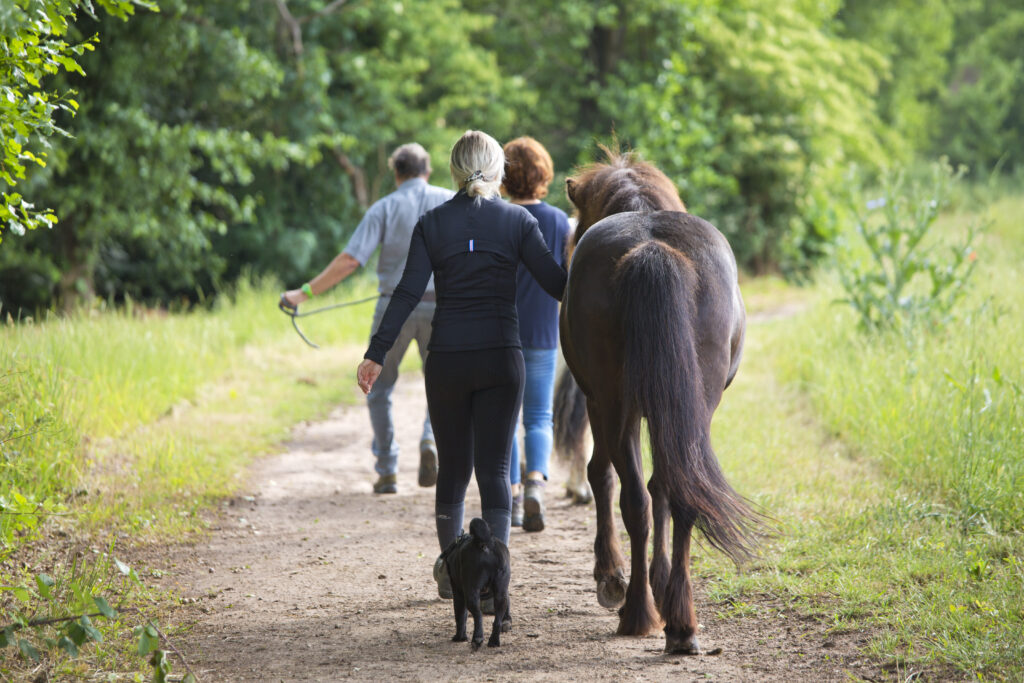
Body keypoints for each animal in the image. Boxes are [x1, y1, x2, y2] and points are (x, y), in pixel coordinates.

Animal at [444, 518, 516, 651]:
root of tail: (486, 544)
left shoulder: (458, 593)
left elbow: (460, 616)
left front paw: (460, 637)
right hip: (501, 591)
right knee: (497, 619)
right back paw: (494, 640)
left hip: (471, 591)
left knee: (478, 615)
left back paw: (477, 639)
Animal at [557, 148, 757, 651]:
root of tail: (653, 251)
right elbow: (663, 488)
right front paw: (660, 581)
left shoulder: (600, 403)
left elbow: (604, 476)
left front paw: (611, 577)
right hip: (692, 406)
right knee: (678, 491)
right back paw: (680, 623)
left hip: (614, 406)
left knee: (631, 496)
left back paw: (636, 610)